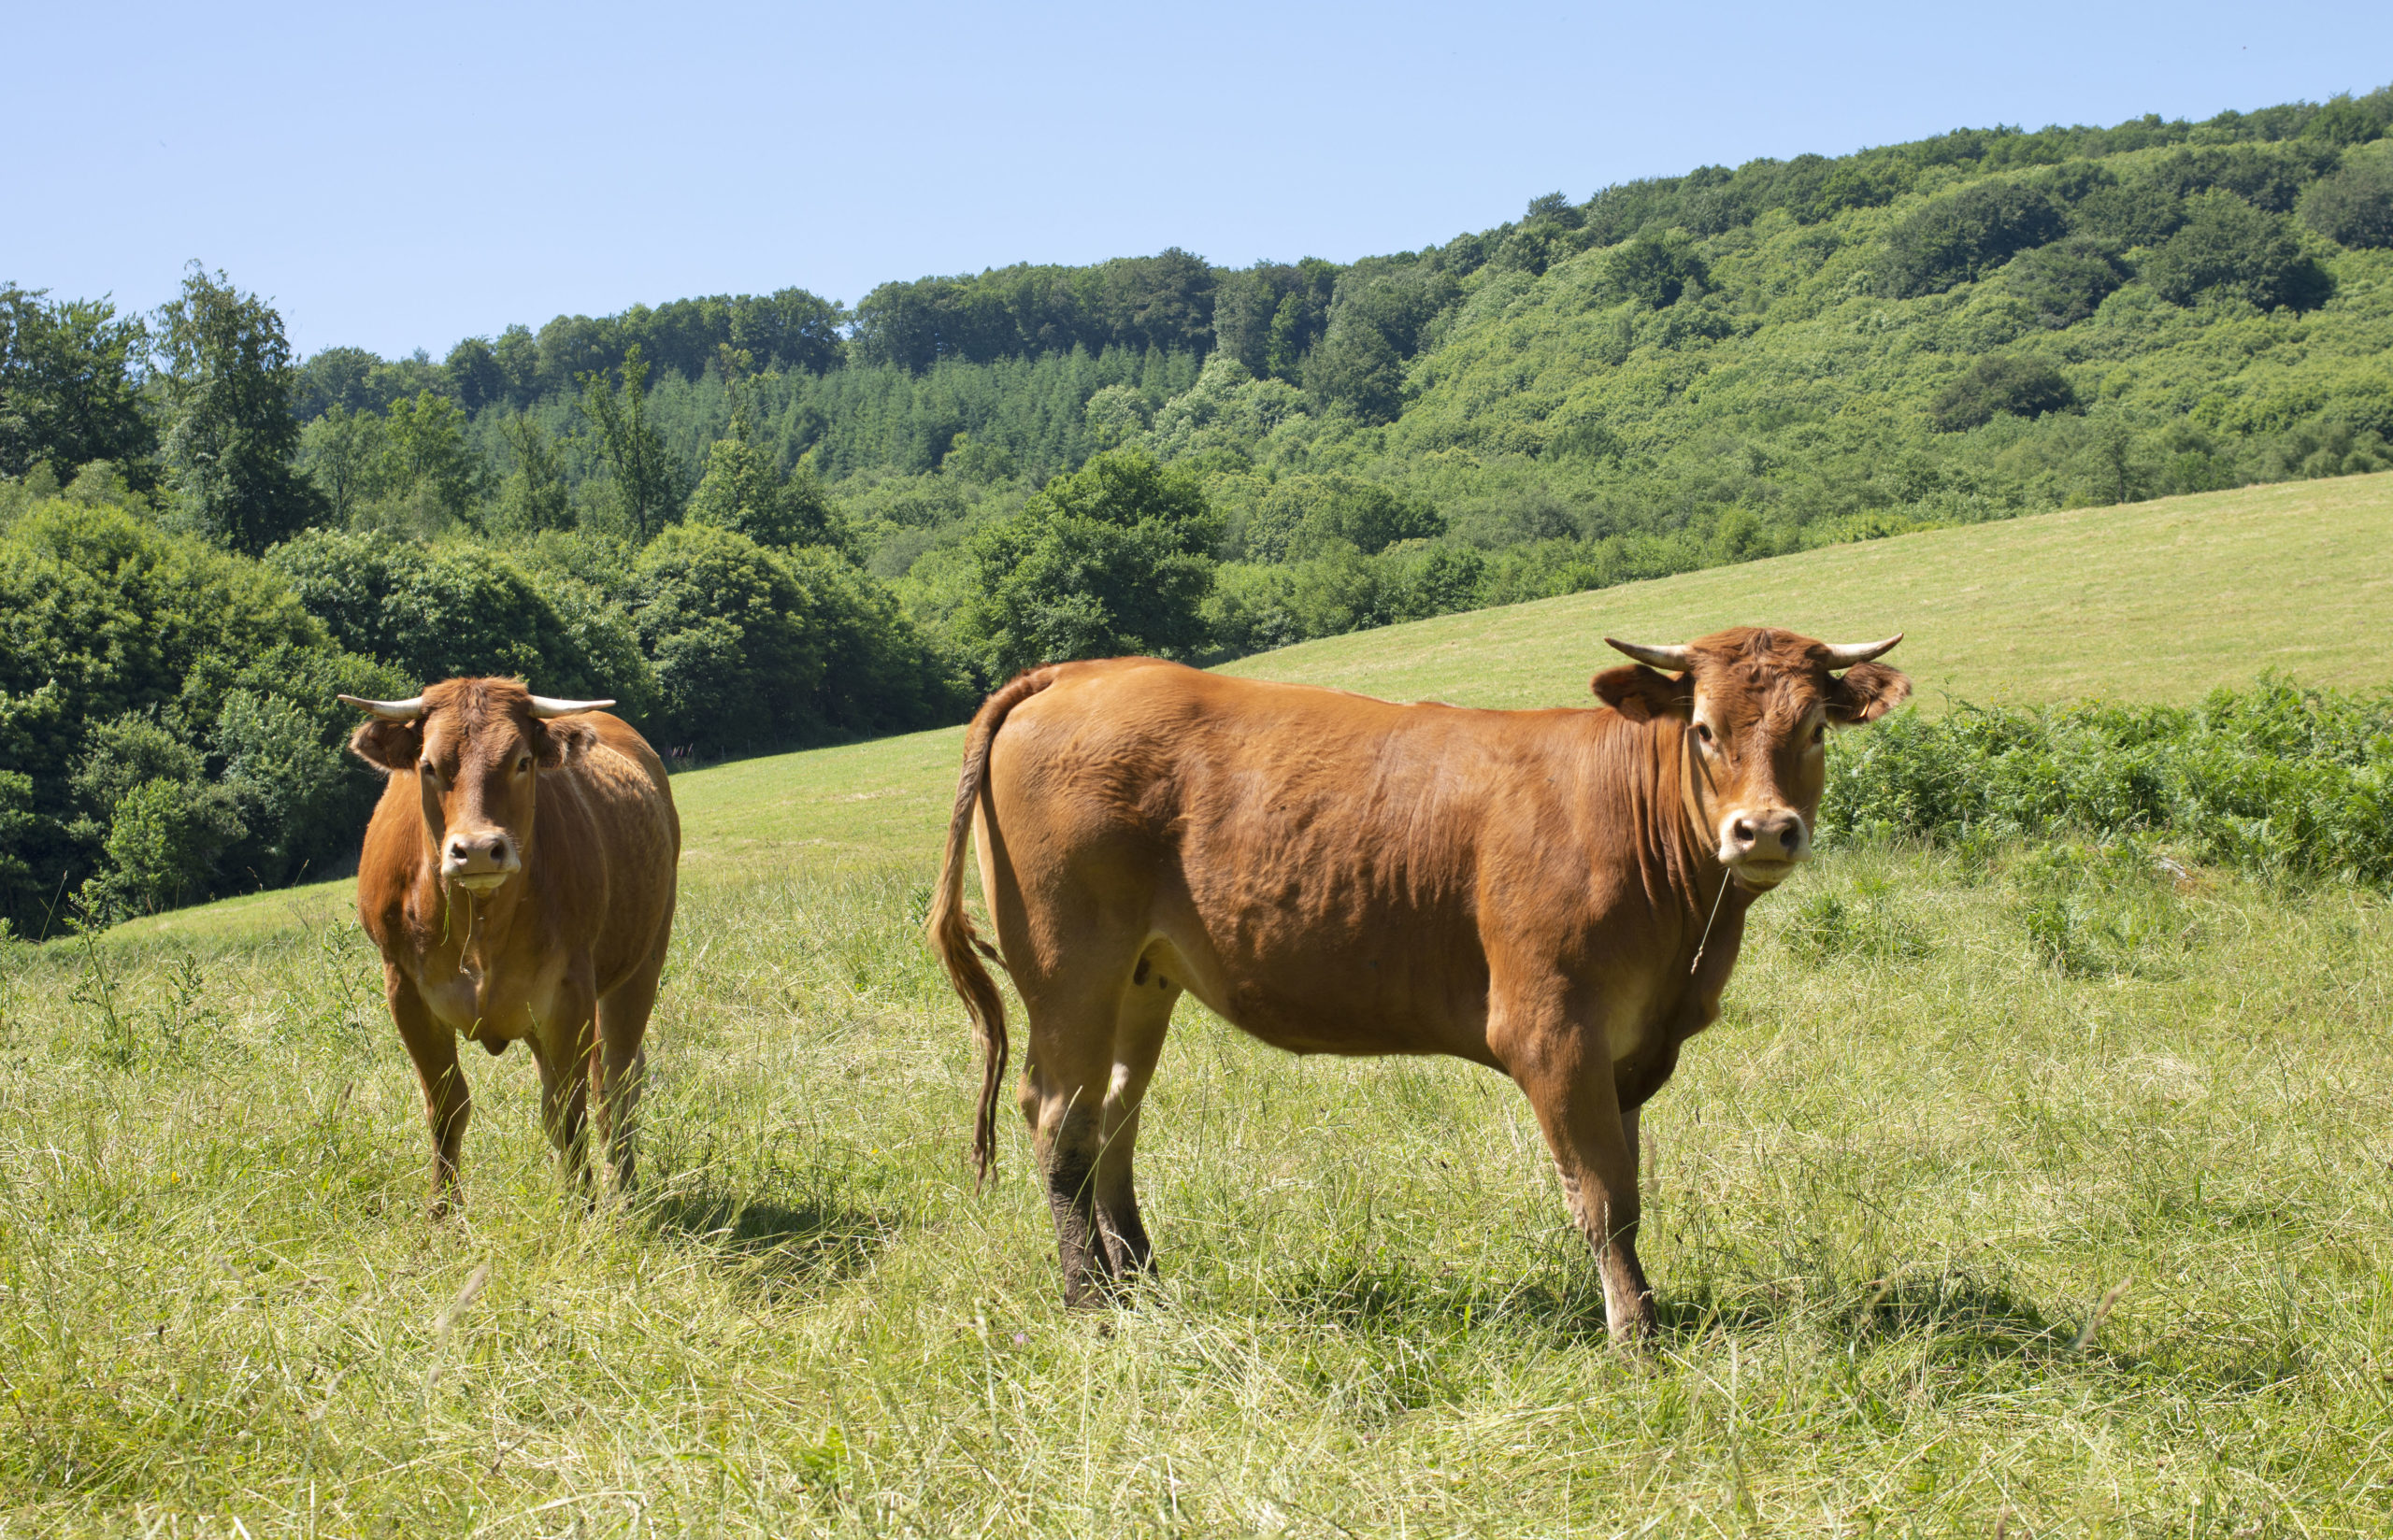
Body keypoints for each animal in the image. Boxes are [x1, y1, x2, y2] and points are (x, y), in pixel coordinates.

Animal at [341, 677, 680, 1214]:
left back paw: (622, 1189)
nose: (479, 850)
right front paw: (443, 1215)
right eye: (428, 765)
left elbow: (566, 1110)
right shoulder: (405, 990)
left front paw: (582, 1210)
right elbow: (446, 1106)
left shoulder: (569, 991)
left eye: (522, 761)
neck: (479, 926)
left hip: (642, 963)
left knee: (618, 1080)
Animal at [927, 627, 1909, 1342]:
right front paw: (1635, 1335)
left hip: (1143, 977)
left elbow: (1628, 1191)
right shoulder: (1552, 1031)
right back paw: (1091, 1303)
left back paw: (1142, 1284)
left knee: (1113, 1121)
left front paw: (1644, 1312)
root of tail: (1076, 672)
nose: (1764, 831)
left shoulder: (1629, 1049)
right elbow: (1603, 1198)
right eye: (1703, 728)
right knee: (1060, 1122)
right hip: (1070, 969)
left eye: (1814, 728)